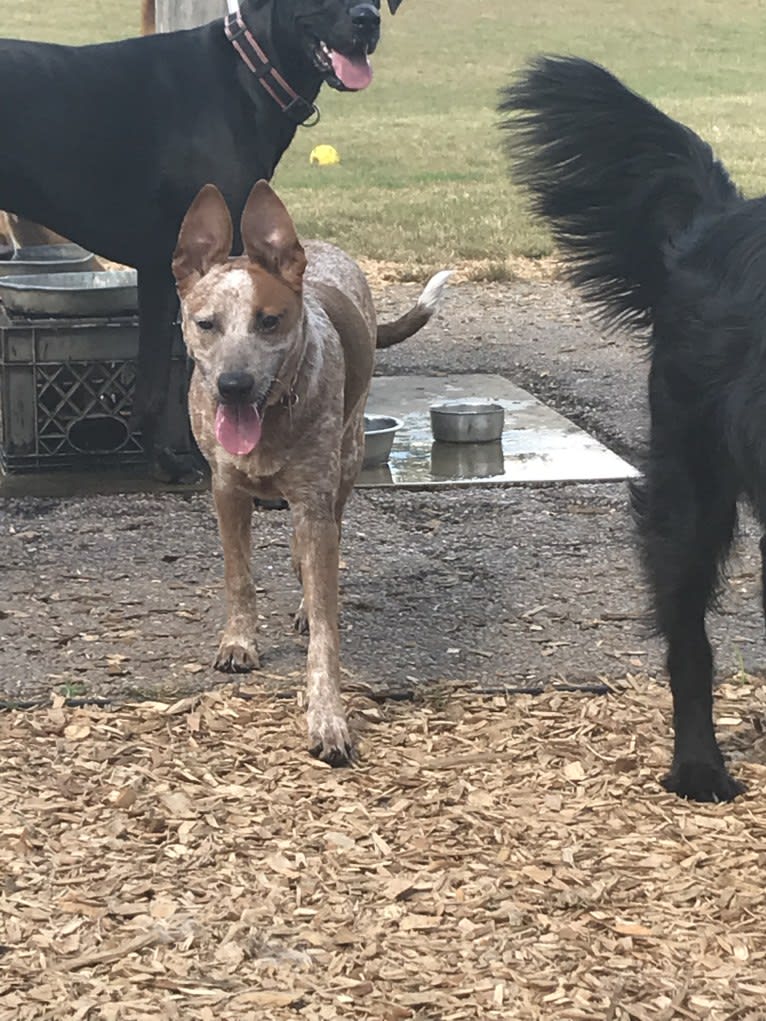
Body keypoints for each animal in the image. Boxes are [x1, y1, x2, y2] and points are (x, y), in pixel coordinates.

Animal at [173, 181, 449, 767]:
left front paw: (328, 717)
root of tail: (318, 248)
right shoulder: (225, 492)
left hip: (347, 461)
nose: (232, 384)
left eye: (269, 321)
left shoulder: (315, 502)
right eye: (206, 323)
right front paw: (239, 642)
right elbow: (239, 577)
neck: (273, 418)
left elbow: (325, 629)